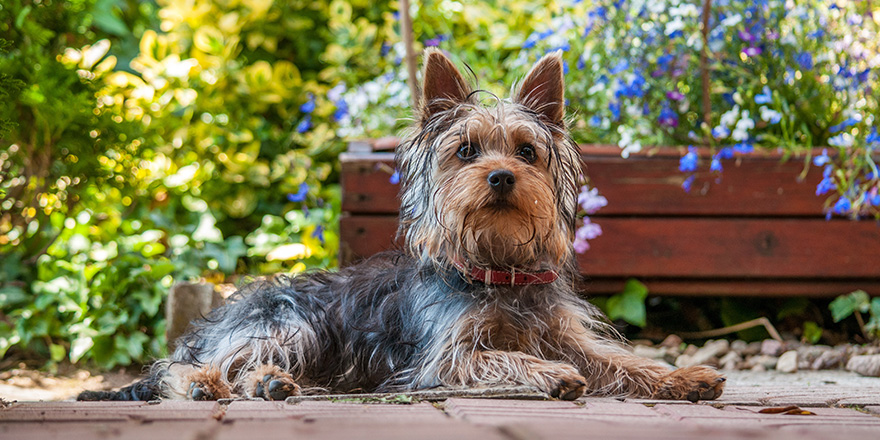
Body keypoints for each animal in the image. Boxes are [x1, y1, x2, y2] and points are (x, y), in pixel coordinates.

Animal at [79, 48, 724, 402]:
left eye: (526, 151)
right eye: (465, 151)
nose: (500, 176)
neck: (497, 269)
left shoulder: (565, 332)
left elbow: (622, 362)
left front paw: (682, 376)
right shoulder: (447, 356)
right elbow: (499, 357)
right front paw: (550, 375)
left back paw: (270, 384)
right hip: (291, 322)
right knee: (186, 367)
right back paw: (210, 384)